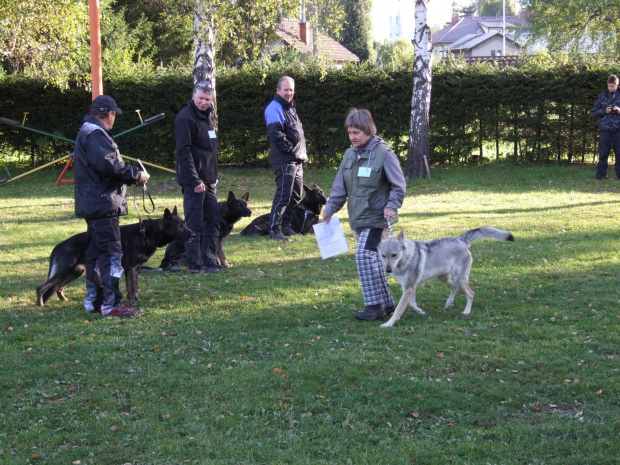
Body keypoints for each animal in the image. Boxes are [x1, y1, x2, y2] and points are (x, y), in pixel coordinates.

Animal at [378, 227, 512, 328]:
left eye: (394, 255)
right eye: (383, 256)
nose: (388, 270)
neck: (407, 258)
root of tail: (461, 239)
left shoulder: (409, 288)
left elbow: (398, 310)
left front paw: (389, 324)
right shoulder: (409, 288)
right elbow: (411, 304)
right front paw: (421, 311)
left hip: (458, 279)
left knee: (471, 294)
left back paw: (466, 311)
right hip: (446, 279)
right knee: (455, 287)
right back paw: (448, 303)